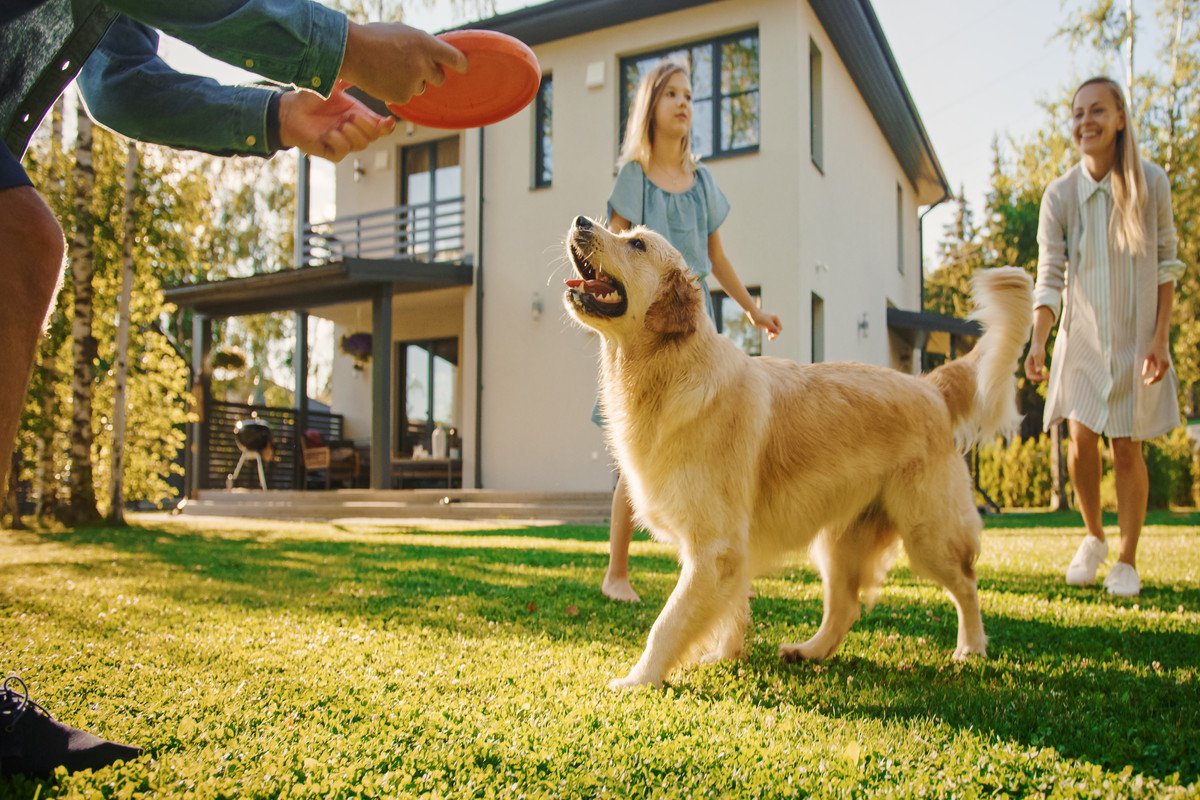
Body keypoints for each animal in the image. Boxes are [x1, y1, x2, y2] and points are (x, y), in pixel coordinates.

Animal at [561, 215, 1032, 690]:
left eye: (637, 244)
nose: (581, 221)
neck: (671, 368)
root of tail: (929, 386)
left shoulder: (714, 547)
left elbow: (668, 623)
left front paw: (637, 680)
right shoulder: (727, 551)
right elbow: (730, 608)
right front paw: (726, 654)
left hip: (927, 532)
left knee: (967, 583)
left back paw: (970, 647)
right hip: (840, 540)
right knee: (845, 607)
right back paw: (809, 651)